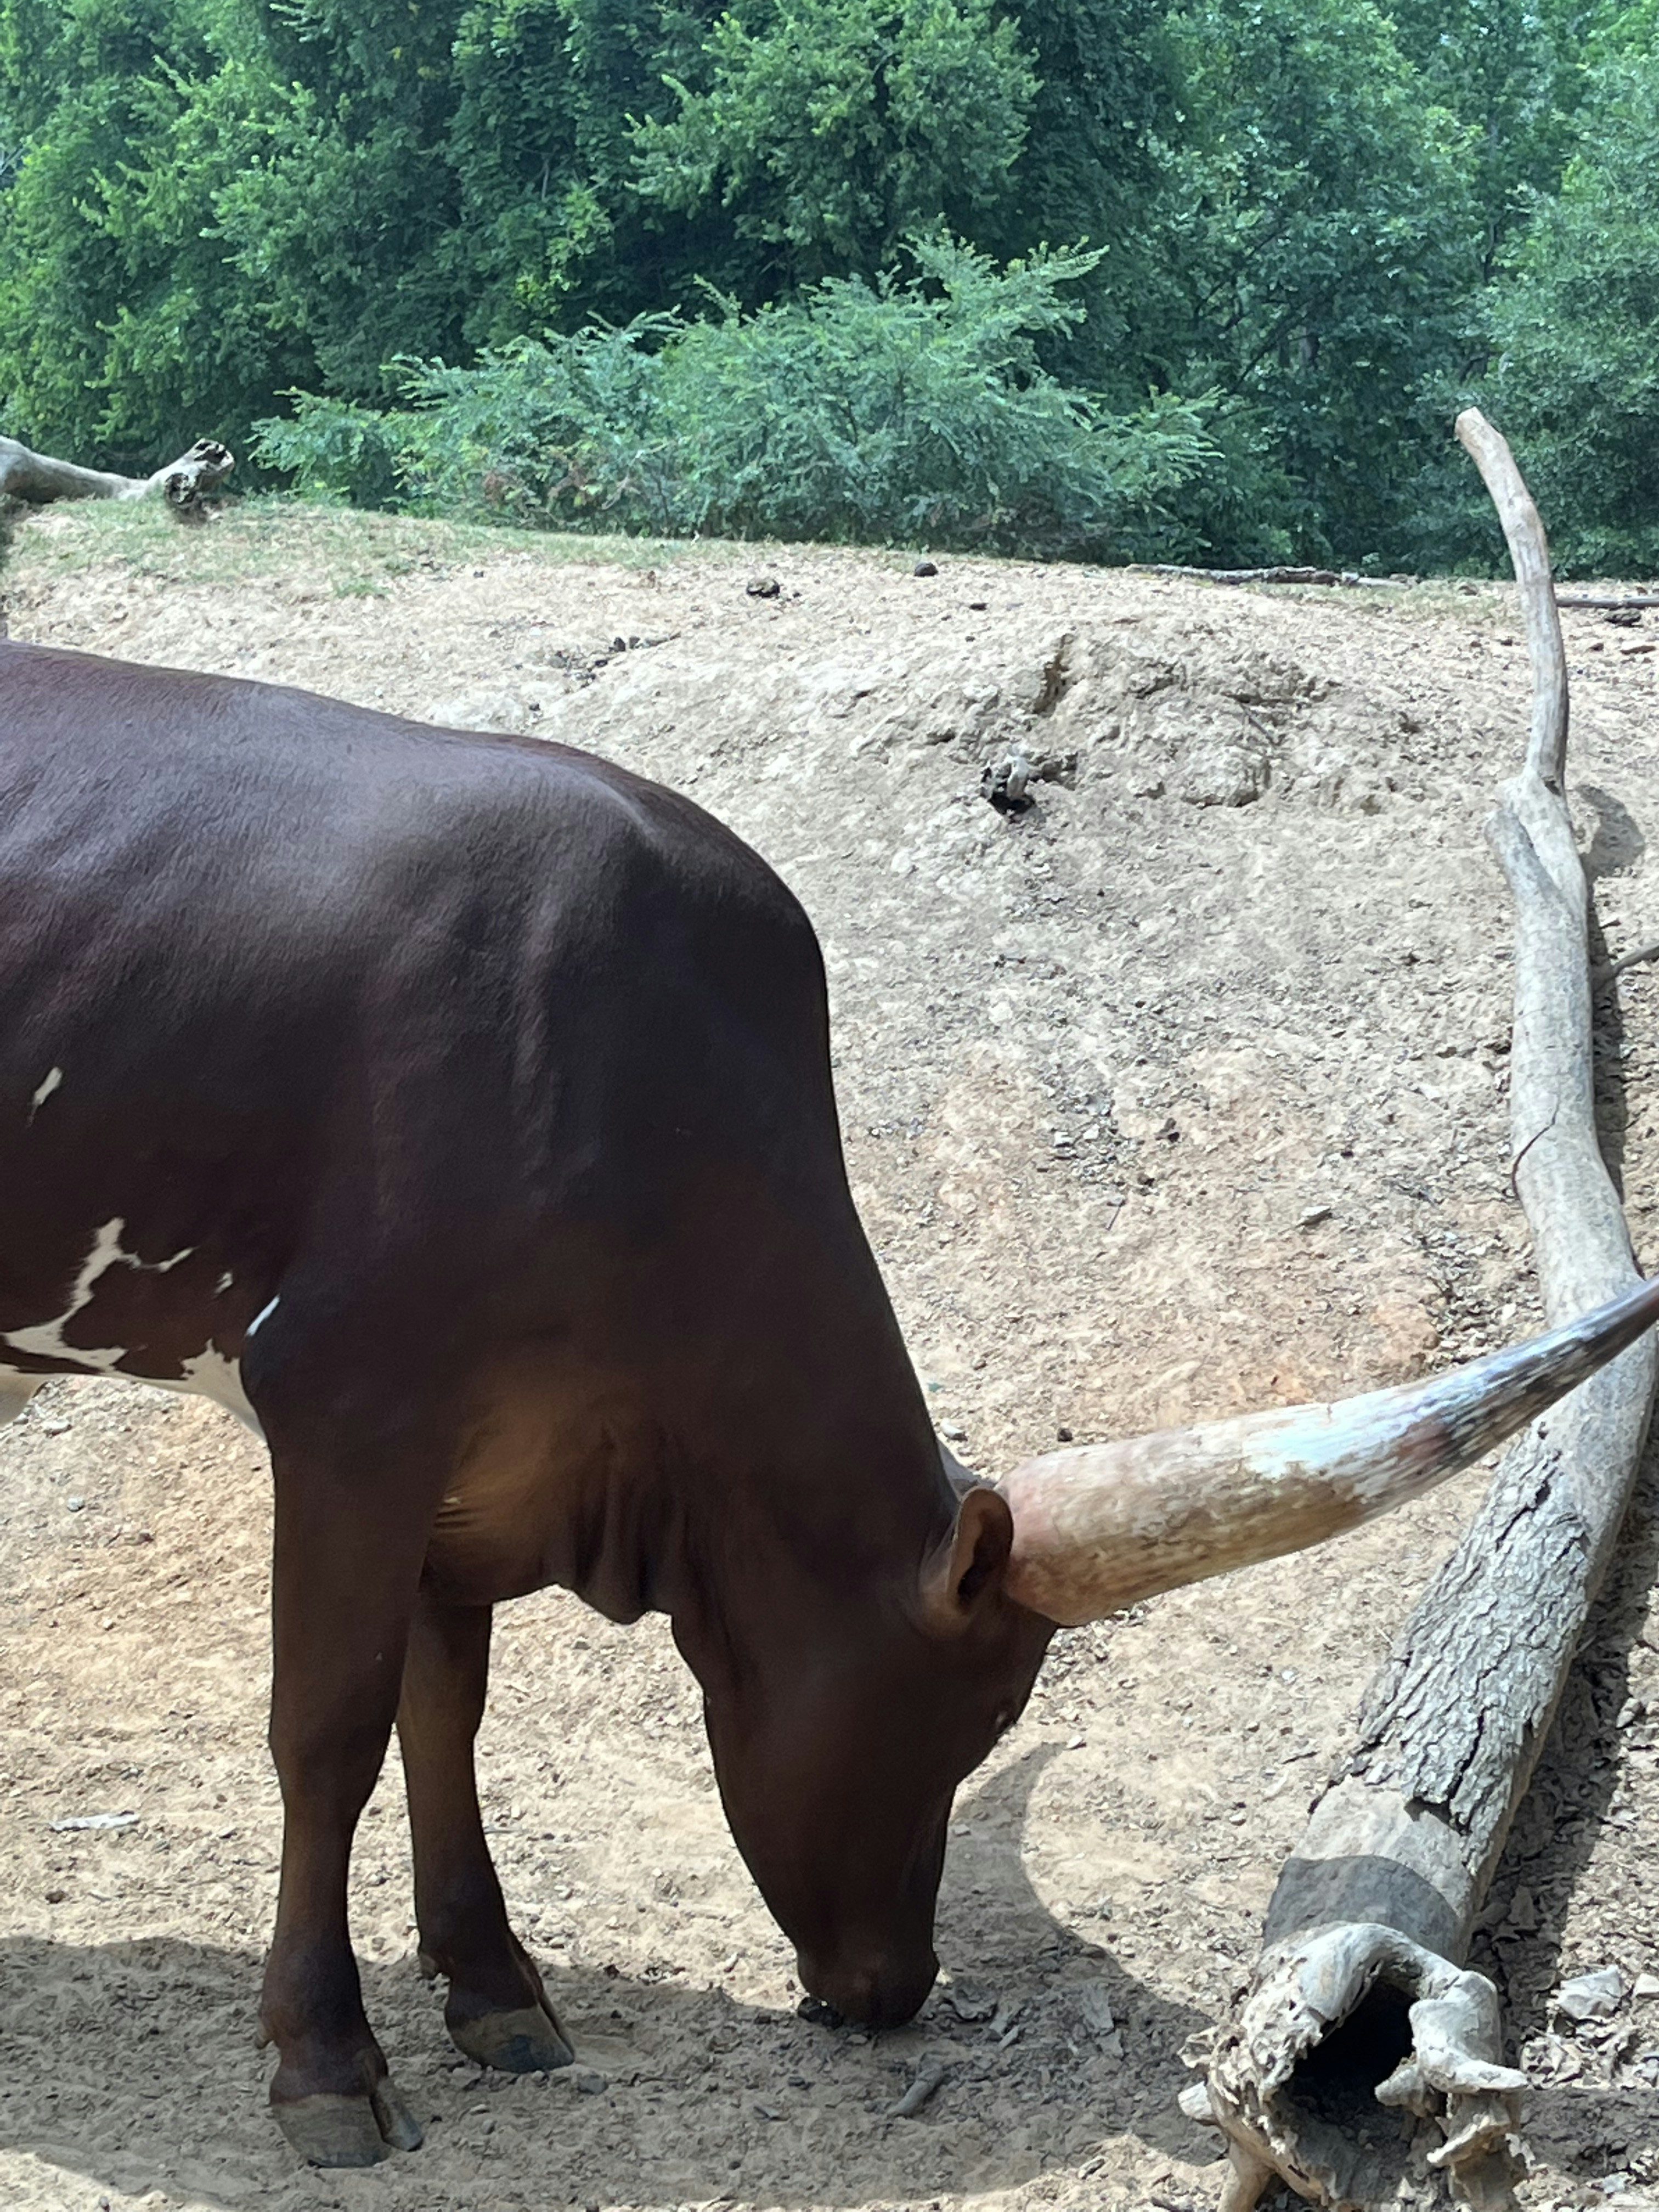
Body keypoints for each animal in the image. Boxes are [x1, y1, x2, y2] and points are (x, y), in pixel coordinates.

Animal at [3, 636, 1654, 2167]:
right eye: (980, 1712)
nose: (897, 1986)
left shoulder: (470, 1455)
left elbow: (444, 1712)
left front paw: (493, 1988)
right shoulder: (352, 1410)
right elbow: (331, 1733)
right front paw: (327, 2062)